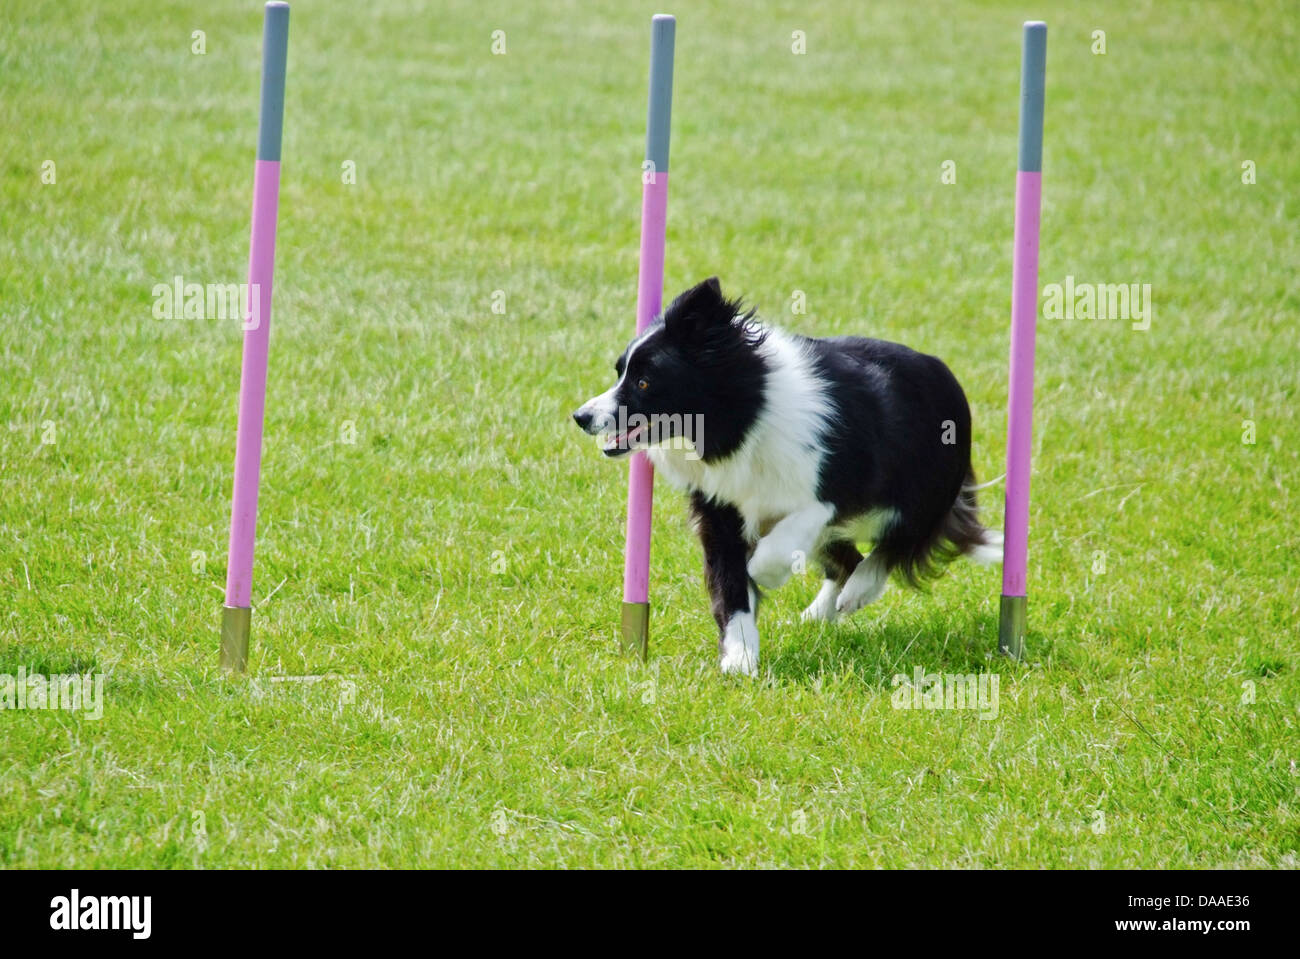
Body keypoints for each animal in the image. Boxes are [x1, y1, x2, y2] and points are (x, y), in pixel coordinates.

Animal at [574, 276, 998, 670]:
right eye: (619, 373)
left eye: (644, 382)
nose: (581, 417)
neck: (744, 419)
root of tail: (941, 369)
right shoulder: (720, 508)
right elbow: (730, 585)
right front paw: (740, 659)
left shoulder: (832, 490)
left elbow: (776, 545)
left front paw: (765, 575)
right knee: (849, 558)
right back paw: (819, 614)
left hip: (919, 492)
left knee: (903, 540)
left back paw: (860, 589)